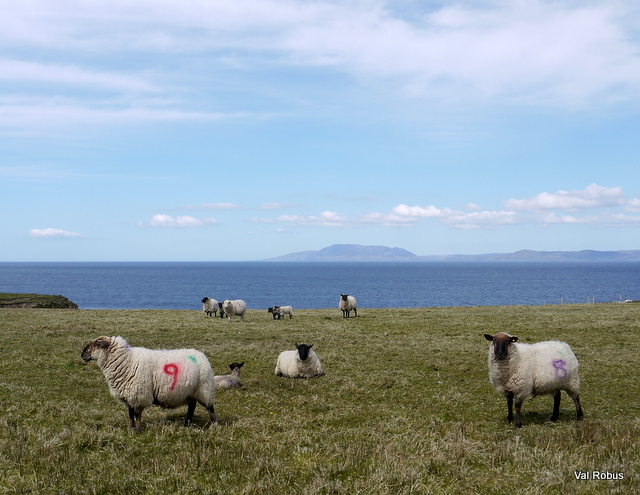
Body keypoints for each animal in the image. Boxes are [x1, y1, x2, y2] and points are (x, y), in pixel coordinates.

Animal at [81, 336, 217, 432]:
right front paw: (130, 429)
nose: (82, 354)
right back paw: (187, 424)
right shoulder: (129, 395)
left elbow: (137, 414)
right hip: (191, 391)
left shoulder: (139, 394)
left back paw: (214, 424)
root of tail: (202, 355)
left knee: (210, 407)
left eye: (96, 344)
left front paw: (137, 430)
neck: (127, 361)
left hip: (204, 388)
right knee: (192, 406)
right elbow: (130, 414)